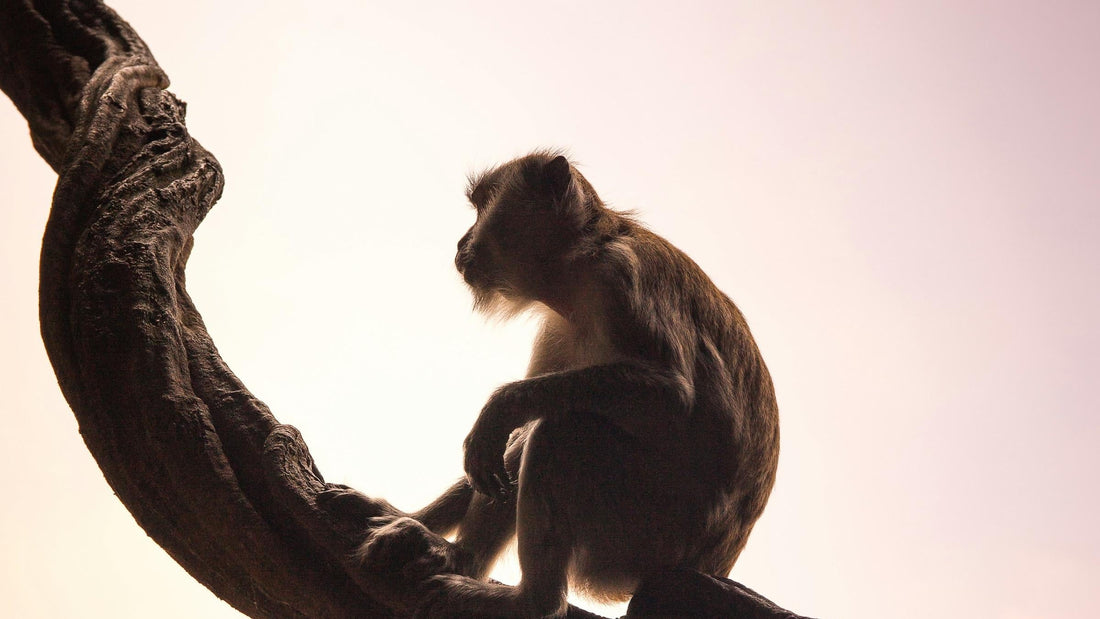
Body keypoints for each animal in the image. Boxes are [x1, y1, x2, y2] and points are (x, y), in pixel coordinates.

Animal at [354, 150, 780, 618]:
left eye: (484, 205)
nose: (461, 241)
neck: (582, 262)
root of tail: (711, 566)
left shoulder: (619, 278)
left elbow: (673, 396)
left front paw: (500, 406)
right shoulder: (556, 328)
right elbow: (514, 434)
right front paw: (411, 515)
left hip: (641, 537)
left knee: (567, 430)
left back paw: (520, 595)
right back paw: (456, 554)